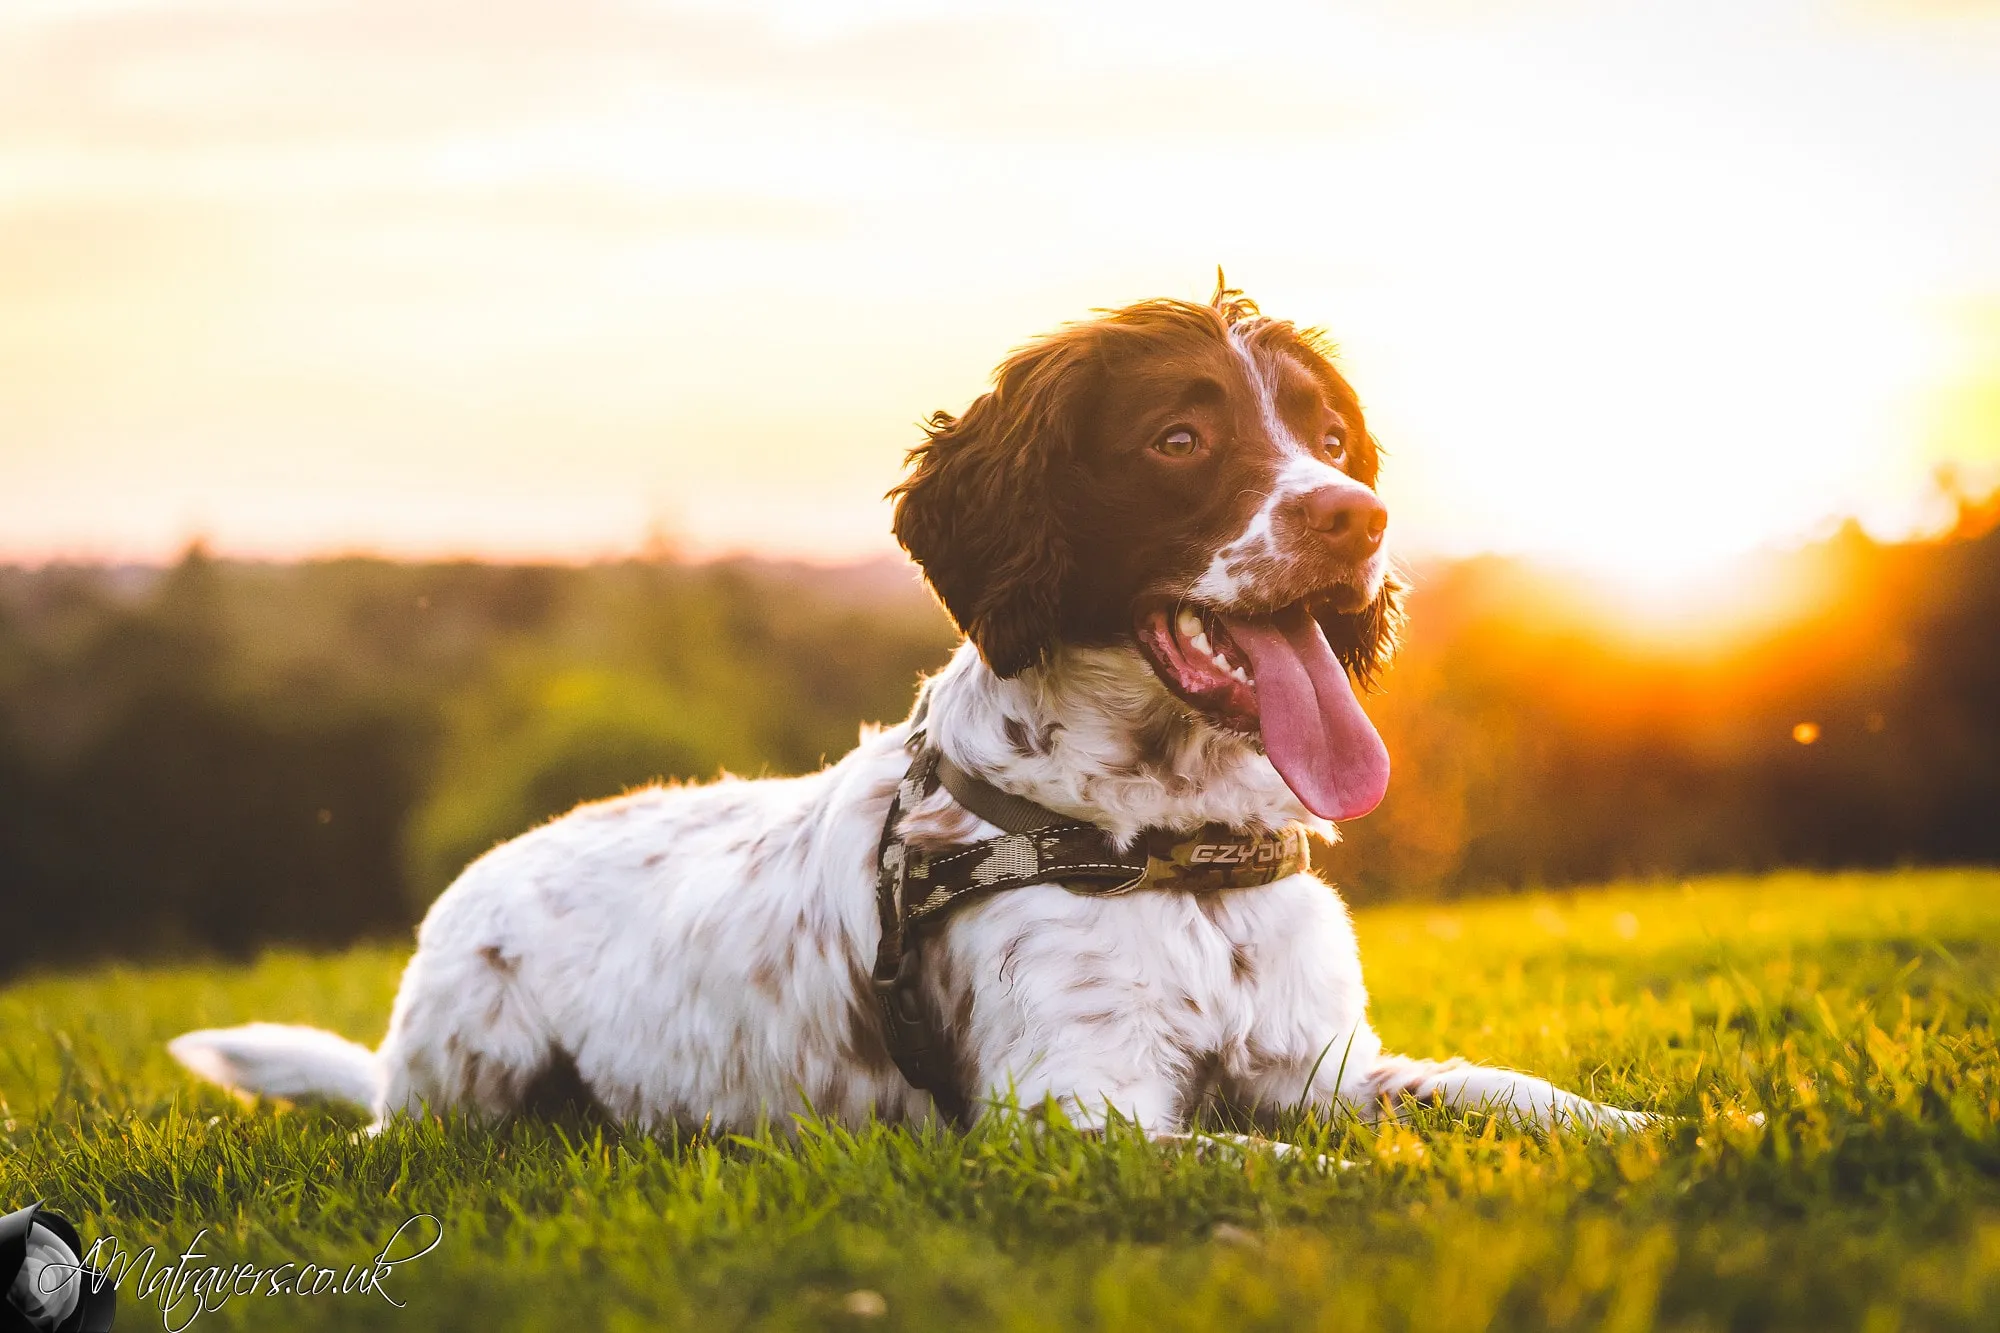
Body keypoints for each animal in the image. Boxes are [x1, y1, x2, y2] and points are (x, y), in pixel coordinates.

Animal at [172, 286, 1648, 1136]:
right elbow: (1309, 1163)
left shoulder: (1322, 1064)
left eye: (1331, 440)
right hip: (462, 1077)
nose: (1359, 517)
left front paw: (1664, 1136)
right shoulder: (1078, 1115)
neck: (1167, 845)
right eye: (1179, 440)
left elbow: (1497, 1095)